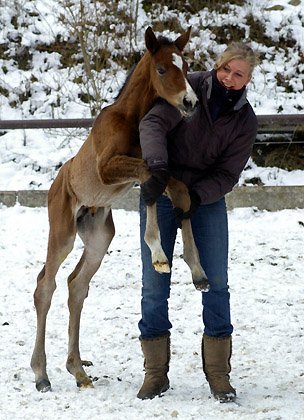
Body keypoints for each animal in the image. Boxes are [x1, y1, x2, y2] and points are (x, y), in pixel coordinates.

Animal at [30, 26, 209, 392]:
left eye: (186, 65)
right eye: (161, 69)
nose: (190, 103)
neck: (131, 118)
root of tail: (55, 185)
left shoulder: (158, 167)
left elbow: (176, 189)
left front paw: (197, 271)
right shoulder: (108, 168)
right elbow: (150, 175)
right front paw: (158, 254)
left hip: (99, 238)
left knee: (76, 286)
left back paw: (78, 371)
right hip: (63, 233)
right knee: (45, 287)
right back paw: (41, 374)